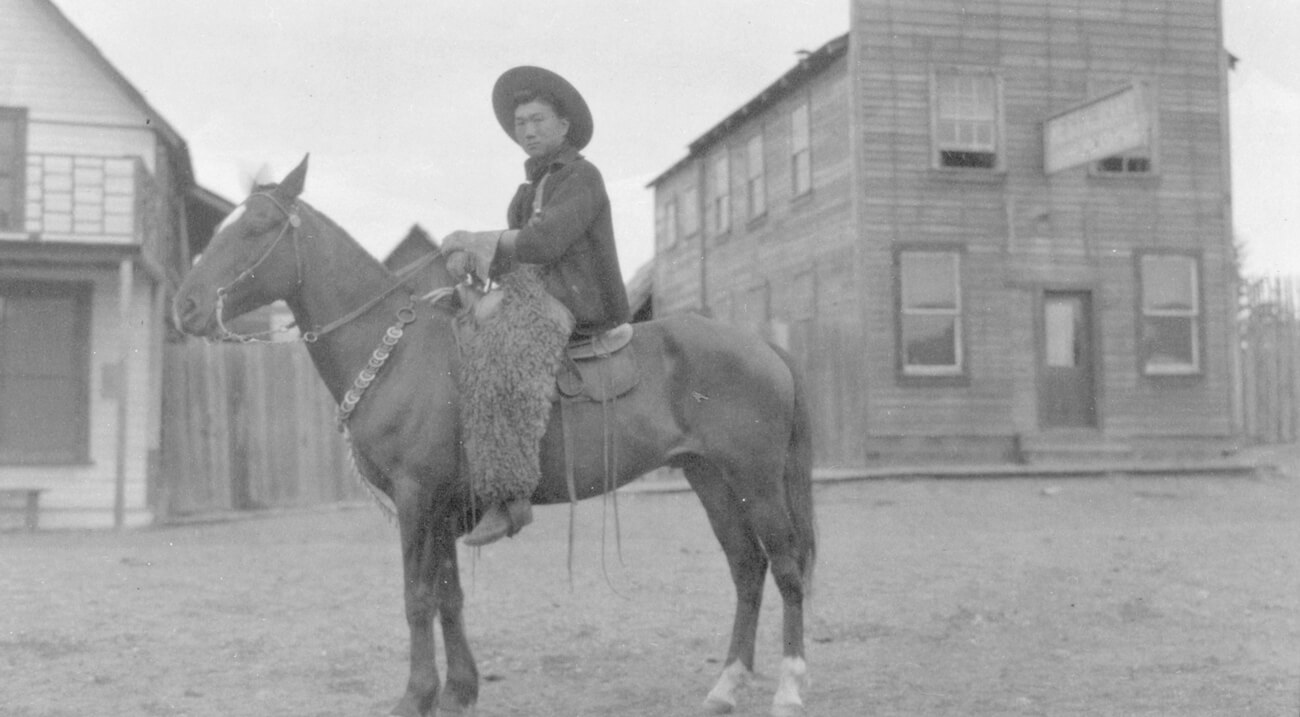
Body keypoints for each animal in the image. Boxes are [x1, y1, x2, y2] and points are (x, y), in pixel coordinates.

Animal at [170, 157, 811, 717]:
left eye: (256, 225)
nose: (186, 304)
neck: (397, 352)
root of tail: (763, 346)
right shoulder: (446, 506)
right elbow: (449, 597)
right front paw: (459, 691)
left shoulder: (416, 497)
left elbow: (417, 597)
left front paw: (415, 696)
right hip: (711, 479)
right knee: (746, 567)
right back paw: (726, 686)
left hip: (756, 480)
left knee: (785, 567)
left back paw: (789, 689)